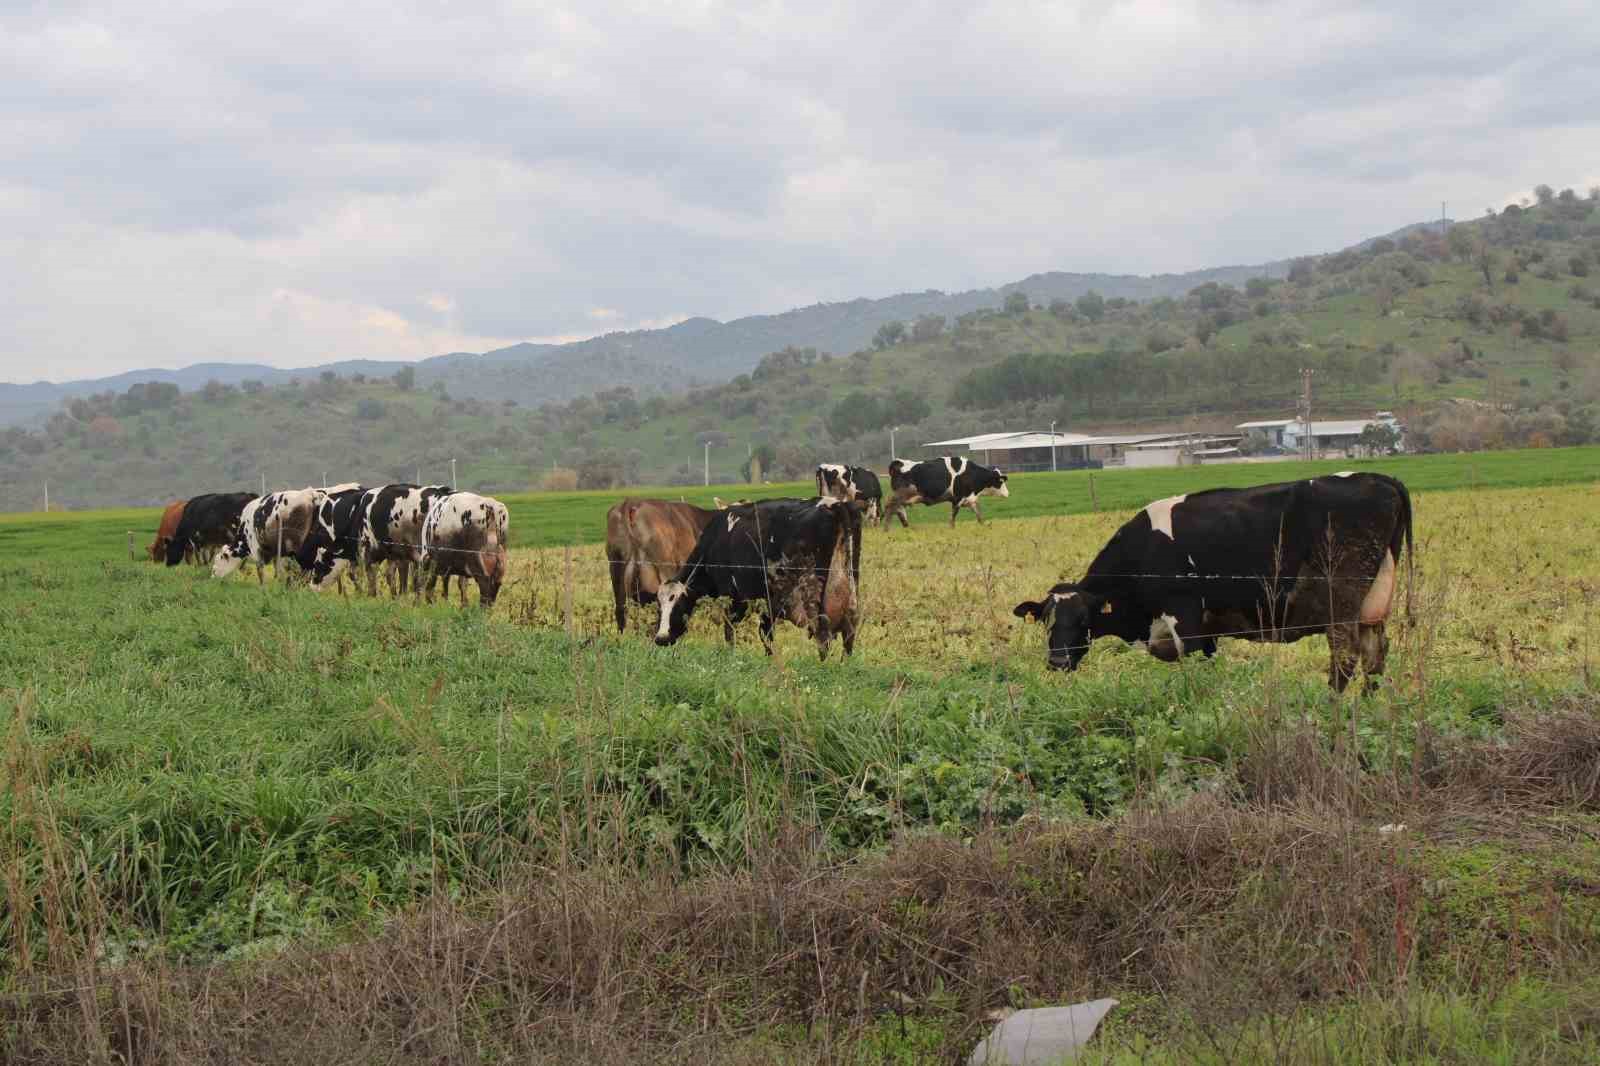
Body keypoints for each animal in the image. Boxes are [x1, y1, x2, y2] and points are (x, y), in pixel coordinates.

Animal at [652, 496, 864, 656]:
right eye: (659, 607)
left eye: (678, 605)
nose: (661, 638)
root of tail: (835, 504)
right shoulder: (766, 603)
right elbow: (766, 635)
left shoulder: (734, 596)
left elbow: (731, 630)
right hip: (851, 587)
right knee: (849, 630)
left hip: (811, 594)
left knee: (823, 632)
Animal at [1011, 470, 1414, 688]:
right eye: (1045, 619)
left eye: (1083, 618)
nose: (1057, 662)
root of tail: (1380, 478)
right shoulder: (1208, 634)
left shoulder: (1185, 621)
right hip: (1372, 606)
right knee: (1375, 658)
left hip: (1340, 603)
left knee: (1344, 660)